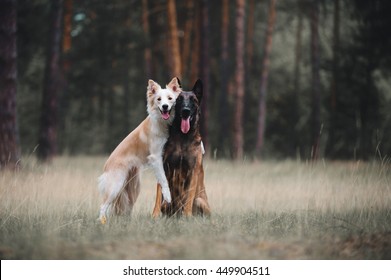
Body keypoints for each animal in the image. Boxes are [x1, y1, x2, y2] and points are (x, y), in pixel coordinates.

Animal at [99, 77, 182, 224]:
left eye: (170, 98)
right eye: (159, 99)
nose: (165, 106)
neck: (161, 123)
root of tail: (106, 166)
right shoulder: (155, 157)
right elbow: (164, 180)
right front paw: (168, 196)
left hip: (133, 187)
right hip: (116, 185)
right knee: (102, 206)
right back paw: (102, 223)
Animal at [152, 80, 211, 218]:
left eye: (193, 100)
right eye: (178, 100)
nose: (186, 111)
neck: (183, 137)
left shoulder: (193, 170)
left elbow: (189, 195)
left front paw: (187, 216)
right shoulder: (163, 167)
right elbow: (159, 194)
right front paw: (155, 215)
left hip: (200, 200)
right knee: (165, 204)